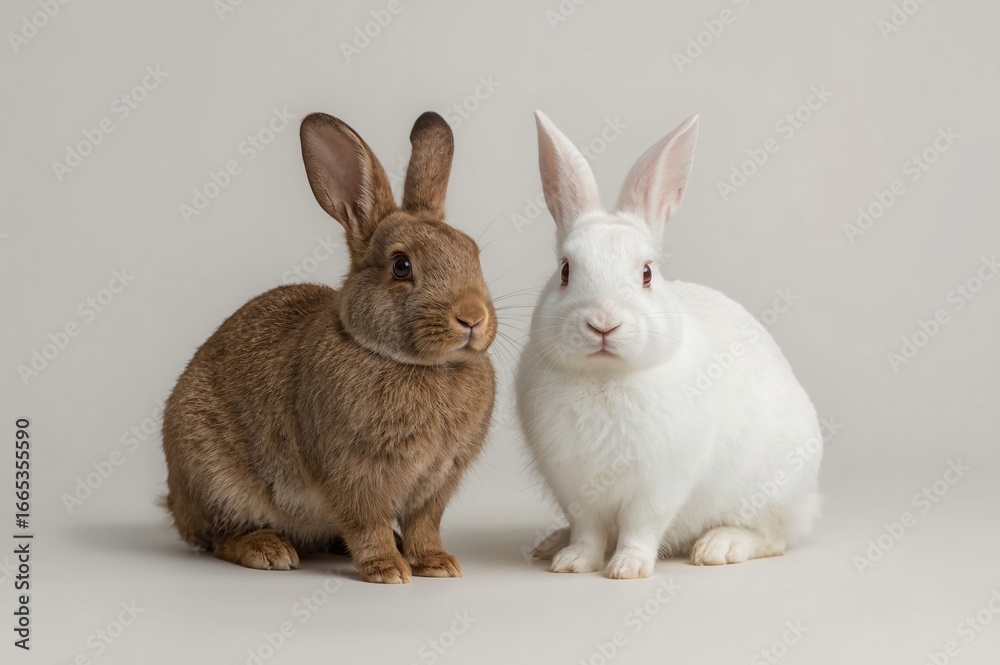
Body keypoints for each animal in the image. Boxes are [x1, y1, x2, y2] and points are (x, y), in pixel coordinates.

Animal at [161, 111, 496, 584]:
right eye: (401, 266)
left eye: (473, 253)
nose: (472, 317)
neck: (415, 364)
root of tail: (175, 502)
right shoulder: (350, 474)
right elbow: (366, 523)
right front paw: (386, 570)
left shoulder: (436, 483)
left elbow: (424, 524)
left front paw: (437, 563)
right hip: (214, 479)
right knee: (217, 537)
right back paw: (268, 550)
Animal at [516, 111, 822, 579]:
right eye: (565, 270)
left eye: (646, 273)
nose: (603, 323)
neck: (604, 377)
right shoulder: (576, 489)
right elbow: (587, 530)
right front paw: (574, 563)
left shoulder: (659, 484)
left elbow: (642, 525)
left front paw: (627, 568)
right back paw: (552, 544)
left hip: (771, 490)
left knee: (772, 538)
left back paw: (719, 546)